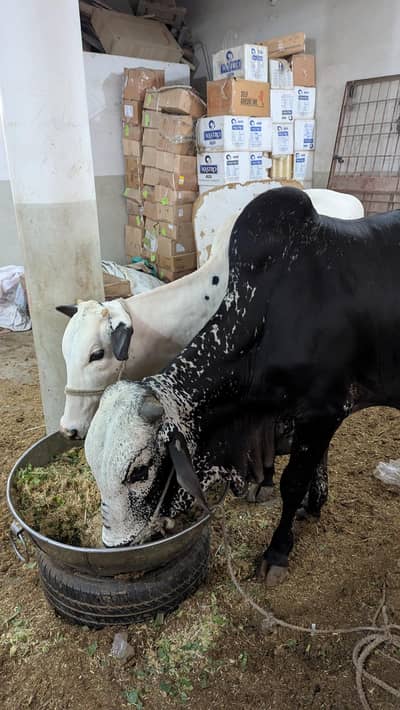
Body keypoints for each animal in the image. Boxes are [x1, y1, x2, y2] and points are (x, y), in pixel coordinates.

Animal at [85, 186, 399, 586]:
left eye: (139, 472)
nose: (115, 548)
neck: (271, 308)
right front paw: (315, 505)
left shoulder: (321, 411)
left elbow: (293, 482)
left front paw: (277, 551)